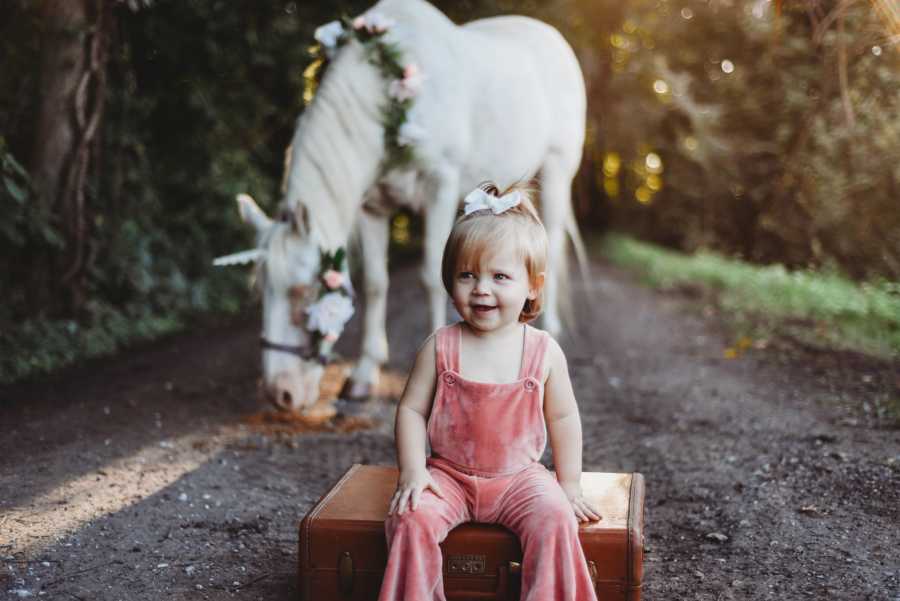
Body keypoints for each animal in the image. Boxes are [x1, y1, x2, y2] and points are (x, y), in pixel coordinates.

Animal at [229, 0, 588, 410]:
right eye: (262, 291)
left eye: (304, 292)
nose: (281, 394)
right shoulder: (372, 209)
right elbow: (375, 284)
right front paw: (364, 375)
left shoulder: (440, 188)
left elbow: (433, 277)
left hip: (557, 173)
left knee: (552, 248)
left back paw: (552, 328)